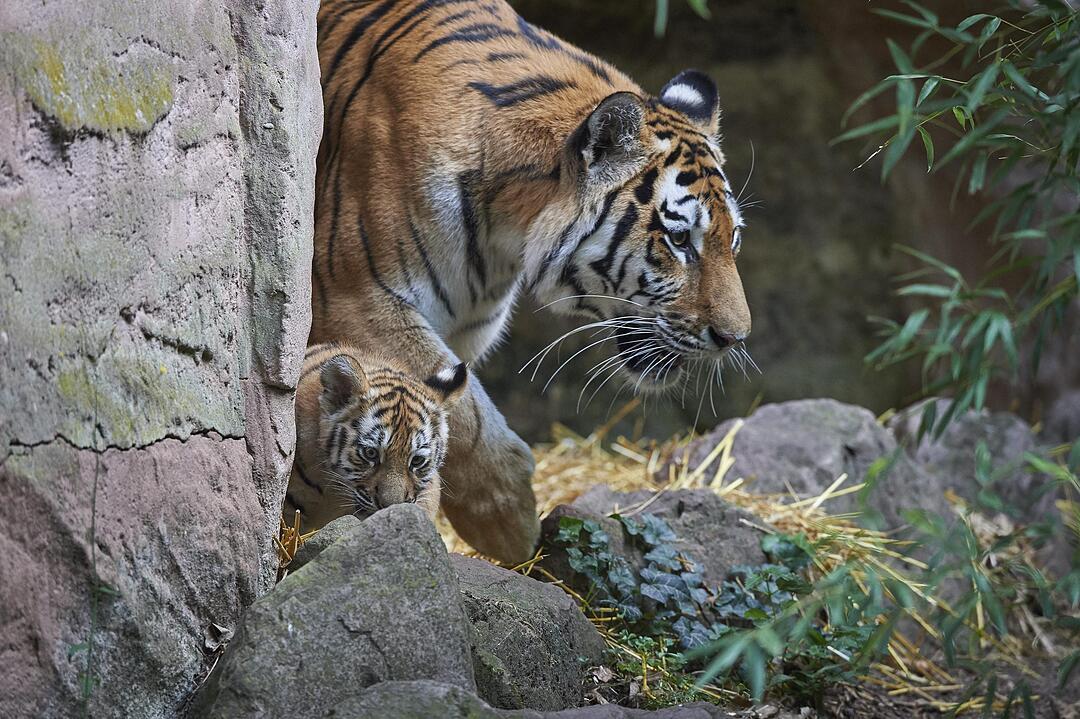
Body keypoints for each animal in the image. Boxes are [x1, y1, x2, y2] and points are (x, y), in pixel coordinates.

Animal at [312, 0, 752, 564]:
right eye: (679, 240)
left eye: (731, 238)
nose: (734, 338)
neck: (505, 235)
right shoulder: (357, 297)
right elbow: (464, 419)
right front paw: (513, 527)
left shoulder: (464, 328)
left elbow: (448, 408)